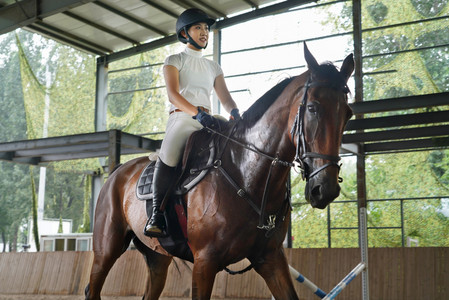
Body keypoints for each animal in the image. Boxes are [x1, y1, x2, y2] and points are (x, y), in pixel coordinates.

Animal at [86, 44, 354, 300]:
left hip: (157, 256)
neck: (247, 173)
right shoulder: (205, 262)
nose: (325, 189)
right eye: (312, 108)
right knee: (93, 288)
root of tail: (118, 171)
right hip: (107, 247)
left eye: (348, 114)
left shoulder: (270, 258)